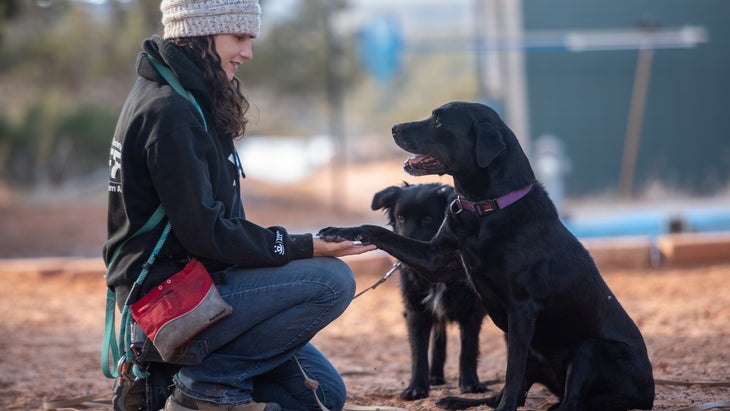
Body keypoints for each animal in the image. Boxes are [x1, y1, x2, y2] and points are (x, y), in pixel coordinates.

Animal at [372, 182, 486, 400]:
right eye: (401, 217)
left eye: (427, 218)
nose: (404, 253)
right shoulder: (416, 311)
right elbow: (419, 352)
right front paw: (417, 387)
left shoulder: (473, 311)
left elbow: (468, 348)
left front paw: (470, 383)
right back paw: (435, 376)